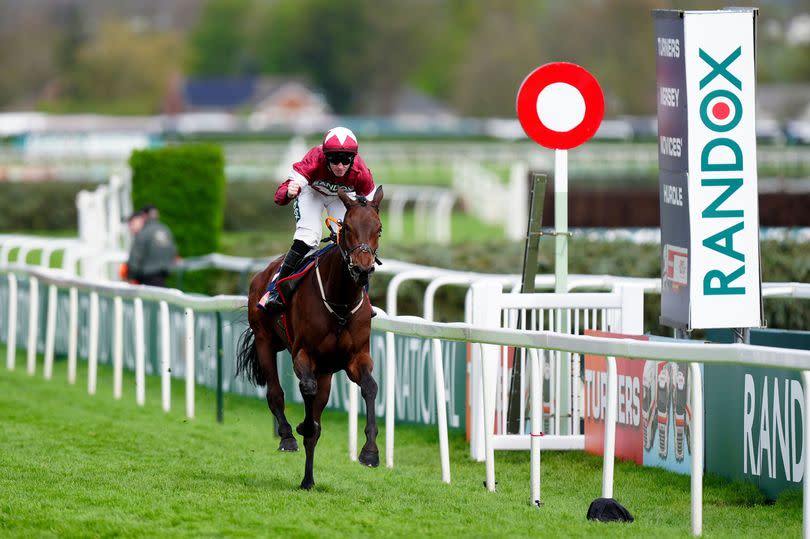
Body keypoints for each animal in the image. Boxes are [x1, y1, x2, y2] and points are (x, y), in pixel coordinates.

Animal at [235, 185, 384, 490]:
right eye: (347, 228)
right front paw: (301, 426)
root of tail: (263, 273)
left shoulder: (357, 357)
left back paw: (308, 479)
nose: (362, 269)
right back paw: (287, 436)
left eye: (379, 229)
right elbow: (306, 390)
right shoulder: (303, 355)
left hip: (327, 371)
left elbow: (370, 387)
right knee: (275, 393)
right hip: (265, 341)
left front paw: (370, 452)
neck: (340, 302)